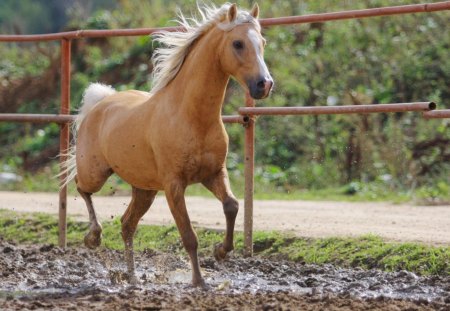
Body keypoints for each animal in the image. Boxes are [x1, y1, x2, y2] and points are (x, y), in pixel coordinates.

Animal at [62, 3, 274, 290]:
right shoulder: (174, 185)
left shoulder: (213, 173)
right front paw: (199, 281)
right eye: (238, 43)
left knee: (127, 225)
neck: (192, 117)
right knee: (82, 188)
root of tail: (99, 103)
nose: (265, 84)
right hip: (95, 173)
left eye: (262, 42)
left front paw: (220, 251)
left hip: (145, 189)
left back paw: (132, 278)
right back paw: (93, 237)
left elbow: (232, 205)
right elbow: (189, 235)